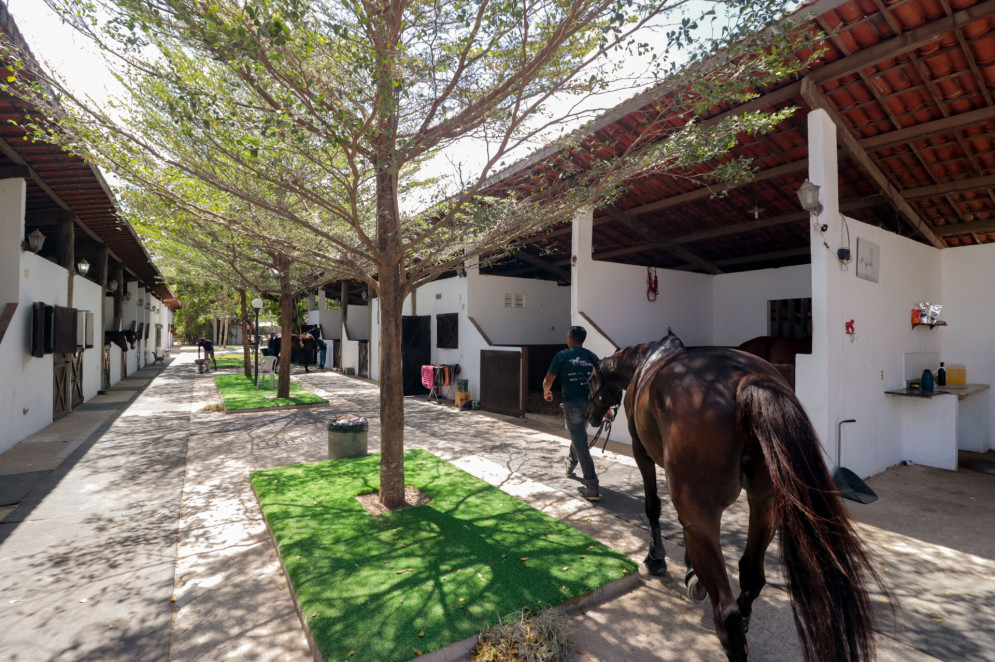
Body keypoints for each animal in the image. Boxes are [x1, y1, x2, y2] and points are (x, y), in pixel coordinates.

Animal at [588, 332, 884, 662]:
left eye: (589, 381)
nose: (591, 417)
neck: (646, 363)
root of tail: (746, 379)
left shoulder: (643, 453)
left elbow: (653, 507)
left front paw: (657, 558)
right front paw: (690, 569)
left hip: (703, 509)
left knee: (726, 614)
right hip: (765, 505)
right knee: (751, 577)